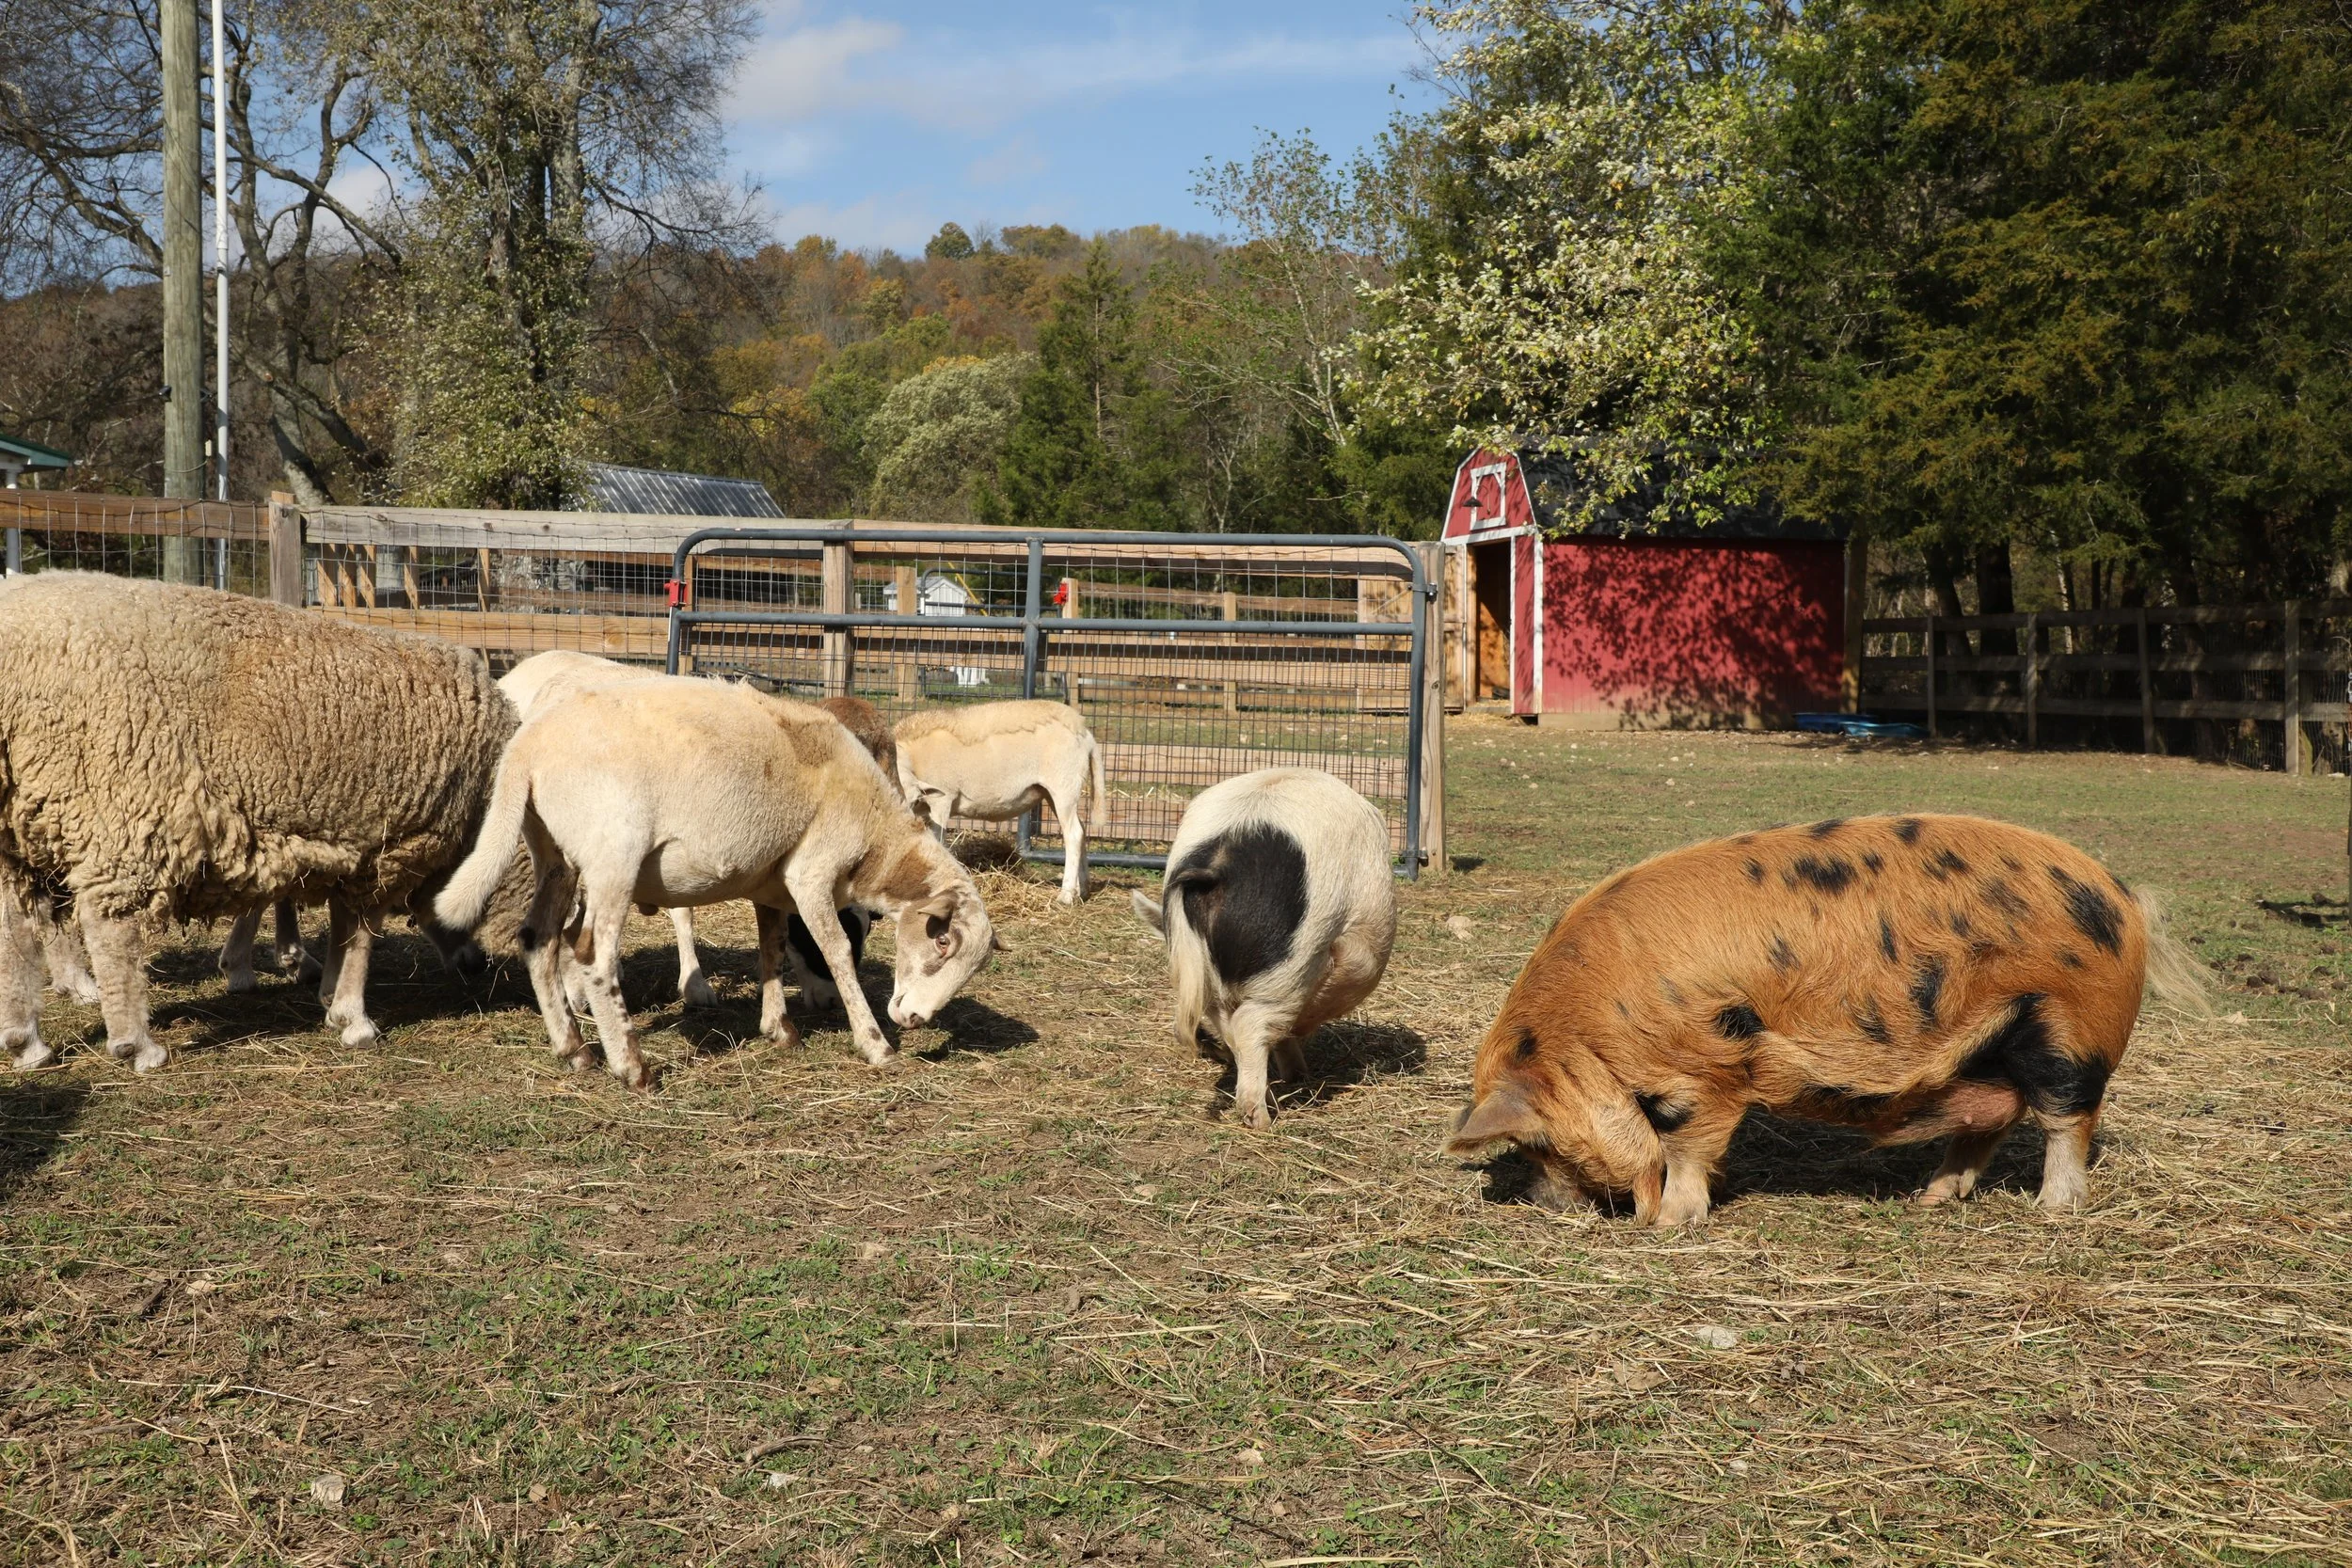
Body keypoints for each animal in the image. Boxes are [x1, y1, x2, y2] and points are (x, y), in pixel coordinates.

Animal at [0, 572, 515, 1071]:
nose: (478, 965)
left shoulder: (344, 844)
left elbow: (336, 921)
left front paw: (327, 993)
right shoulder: (388, 850)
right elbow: (360, 934)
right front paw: (352, 1016)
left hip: (17, 824)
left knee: (15, 928)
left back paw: (27, 1043)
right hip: (119, 801)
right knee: (108, 926)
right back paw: (135, 1044)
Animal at [433, 675, 996, 1086]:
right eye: (942, 942)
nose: (916, 1020)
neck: (875, 834)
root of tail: (525, 750)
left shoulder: (772, 881)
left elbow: (771, 948)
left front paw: (779, 1029)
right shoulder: (811, 872)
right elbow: (833, 950)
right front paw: (876, 1045)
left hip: (554, 852)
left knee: (539, 939)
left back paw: (574, 1050)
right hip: (613, 853)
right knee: (592, 954)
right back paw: (632, 1067)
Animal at [895, 700, 1107, 904]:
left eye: (913, 801)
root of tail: (1084, 731)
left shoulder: (943, 798)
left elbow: (938, 842)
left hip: (1063, 785)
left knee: (1074, 834)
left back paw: (1066, 895)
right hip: (1052, 792)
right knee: (1081, 830)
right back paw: (1083, 890)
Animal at [1129, 767, 1398, 1128]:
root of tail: (1219, 862)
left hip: (1208, 975)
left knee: (1229, 1025)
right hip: (1291, 961)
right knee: (1251, 1025)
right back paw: (1263, 1115)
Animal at [1443, 814, 2211, 1224]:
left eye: (1538, 1144)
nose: (1543, 1201)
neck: (1592, 1037)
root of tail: (2126, 898)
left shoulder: (1711, 1068)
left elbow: (1687, 1146)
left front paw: (1669, 1224)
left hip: (2072, 1027)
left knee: (2066, 1119)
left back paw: (2050, 1208)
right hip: (1986, 1048)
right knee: (1991, 1119)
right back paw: (1930, 1199)